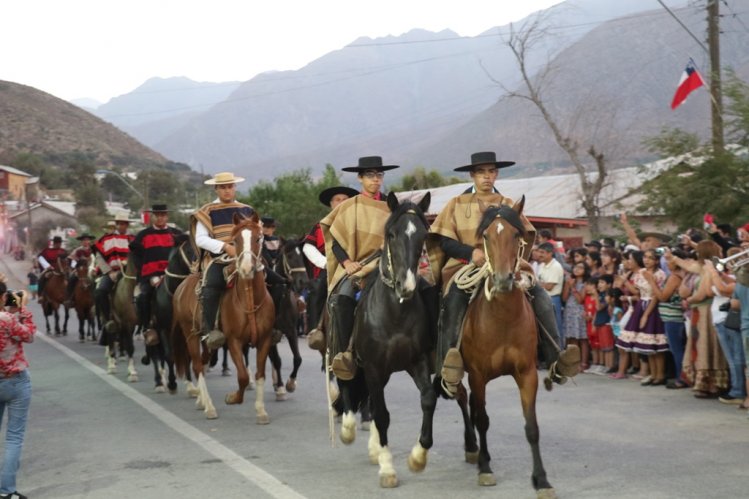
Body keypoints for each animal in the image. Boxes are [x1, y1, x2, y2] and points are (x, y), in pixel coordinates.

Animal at [172, 213, 274, 424]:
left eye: (258, 238)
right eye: (234, 241)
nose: (246, 269)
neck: (249, 300)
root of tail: (181, 286)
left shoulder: (265, 340)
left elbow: (260, 374)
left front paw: (261, 411)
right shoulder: (234, 341)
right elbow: (243, 376)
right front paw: (233, 398)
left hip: (208, 341)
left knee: (202, 363)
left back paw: (201, 401)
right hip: (190, 334)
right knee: (197, 365)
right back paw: (209, 407)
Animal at [456, 197, 556, 498]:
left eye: (515, 234)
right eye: (486, 236)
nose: (502, 280)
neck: (502, 319)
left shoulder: (527, 373)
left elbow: (532, 427)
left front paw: (541, 480)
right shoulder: (478, 375)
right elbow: (483, 419)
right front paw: (486, 469)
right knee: (462, 398)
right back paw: (473, 449)